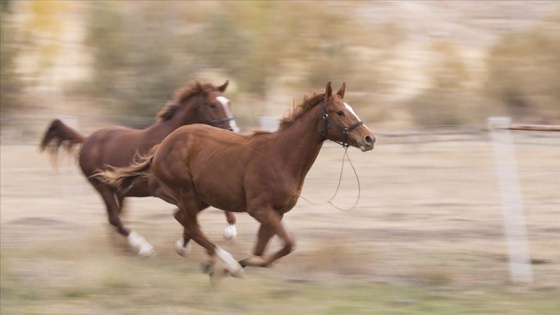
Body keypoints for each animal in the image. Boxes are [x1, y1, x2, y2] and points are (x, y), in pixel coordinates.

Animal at [38, 81, 241, 256]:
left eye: (228, 102)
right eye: (212, 105)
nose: (233, 131)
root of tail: (87, 139)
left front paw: (229, 231)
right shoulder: (164, 191)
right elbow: (188, 214)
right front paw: (186, 245)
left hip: (120, 191)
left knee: (116, 219)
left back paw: (123, 250)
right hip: (101, 186)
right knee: (114, 218)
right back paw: (144, 249)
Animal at [97, 82, 376, 278]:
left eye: (351, 109)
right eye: (339, 112)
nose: (369, 139)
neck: (282, 156)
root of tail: (164, 143)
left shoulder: (276, 213)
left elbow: (263, 248)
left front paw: (246, 262)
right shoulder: (260, 209)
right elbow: (288, 244)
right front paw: (240, 264)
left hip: (201, 196)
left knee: (182, 218)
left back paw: (197, 255)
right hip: (186, 192)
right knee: (192, 225)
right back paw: (225, 261)